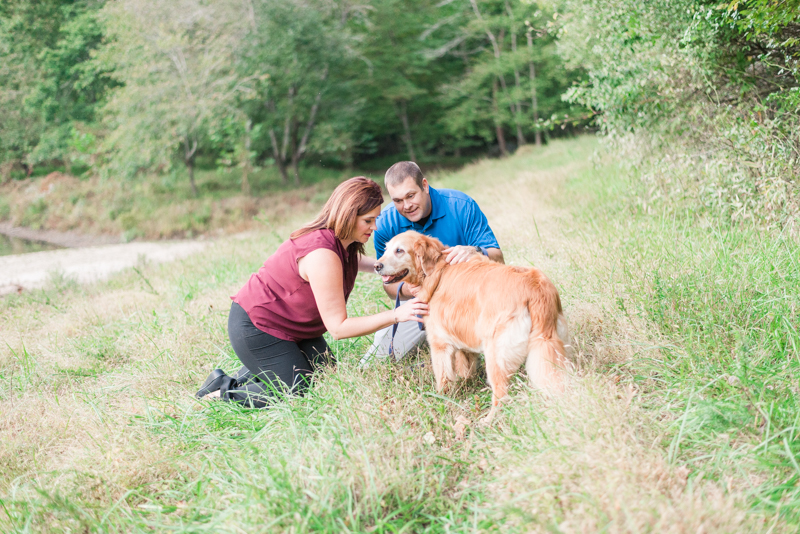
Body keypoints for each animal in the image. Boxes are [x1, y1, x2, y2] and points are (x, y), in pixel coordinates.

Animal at [376, 232, 568, 426]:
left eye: (399, 250)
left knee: (502, 395)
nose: (377, 266)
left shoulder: (439, 343)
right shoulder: (461, 335)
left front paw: (441, 399)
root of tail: (535, 287)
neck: (438, 269)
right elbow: (465, 366)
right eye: (385, 249)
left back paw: (488, 421)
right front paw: (465, 382)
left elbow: (443, 377)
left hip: (496, 354)